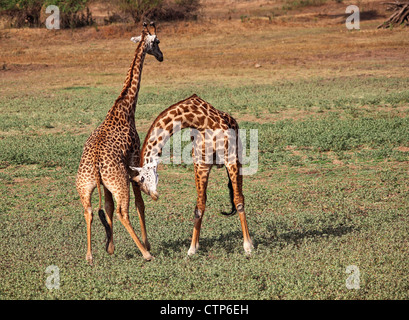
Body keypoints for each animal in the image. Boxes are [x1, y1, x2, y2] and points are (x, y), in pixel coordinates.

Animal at [75, 21, 162, 264]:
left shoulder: (107, 183)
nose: (161, 56)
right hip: (118, 182)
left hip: (85, 185)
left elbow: (107, 207)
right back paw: (146, 253)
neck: (125, 106)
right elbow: (140, 203)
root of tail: (95, 164)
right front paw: (146, 243)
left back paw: (89, 255)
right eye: (157, 42)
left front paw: (110, 246)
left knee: (89, 211)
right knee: (124, 212)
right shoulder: (133, 159)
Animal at [130, 94, 252, 256]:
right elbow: (199, 205)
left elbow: (238, 200)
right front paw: (192, 248)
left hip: (239, 160)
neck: (202, 120)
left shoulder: (230, 159)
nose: (154, 196)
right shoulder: (201, 165)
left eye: (141, 180)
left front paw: (248, 246)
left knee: (240, 196)